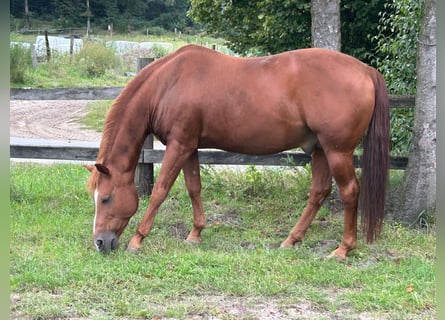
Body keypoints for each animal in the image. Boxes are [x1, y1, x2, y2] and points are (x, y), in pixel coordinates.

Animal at [85, 44, 386, 260]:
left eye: (106, 199)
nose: (100, 242)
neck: (168, 83)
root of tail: (364, 69)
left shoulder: (178, 145)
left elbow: (160, 190)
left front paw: (138, 240)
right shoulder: (189, 146)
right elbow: (194, 187)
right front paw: (195, 234)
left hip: (337, 151)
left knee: (349, 192)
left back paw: (343, 249)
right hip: (321, 149)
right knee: (319, 192)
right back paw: (291, 240)